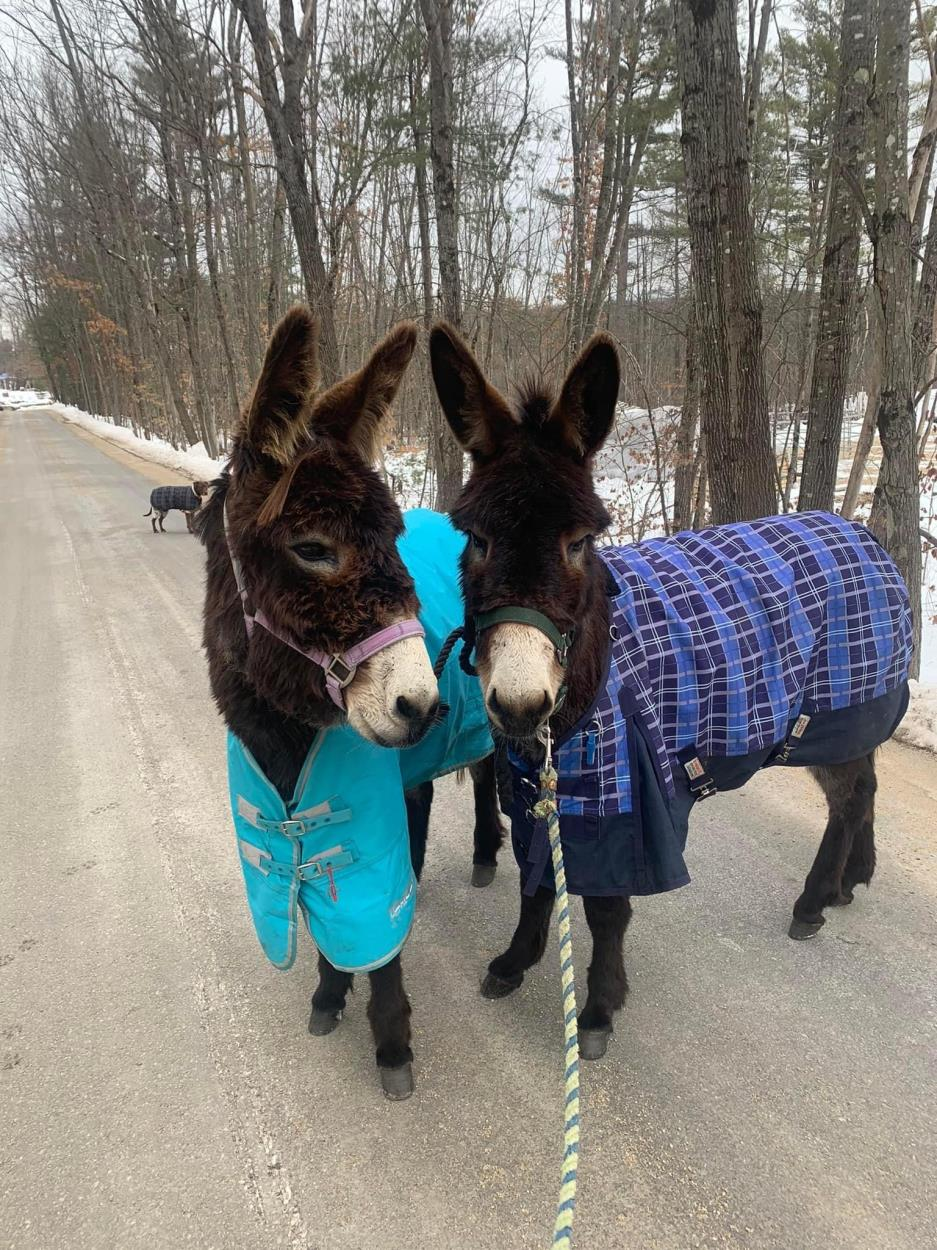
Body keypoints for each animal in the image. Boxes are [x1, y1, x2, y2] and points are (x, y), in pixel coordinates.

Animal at [197, 307, 502, 1098]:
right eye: (311, 548)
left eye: (394, 538)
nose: (423, 705)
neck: (285, 738)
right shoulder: (290, 823)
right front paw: (329, 993)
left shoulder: (363, 828)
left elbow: (376, 938)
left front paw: (392, 1044)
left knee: (489, 770)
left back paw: (485, 853)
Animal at [427, 322, 912, 1059]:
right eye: (476, 538)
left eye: (579, 541)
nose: (518, 704)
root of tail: (866, 536)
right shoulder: (544, 787)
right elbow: (536, 881)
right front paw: (514, 963)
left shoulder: (628, 795)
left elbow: (605, 907)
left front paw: (598, 1011)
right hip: (842, 718)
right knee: (866, 787)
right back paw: (850, 882)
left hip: (838, 710)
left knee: (850, 796)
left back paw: (812, 903)